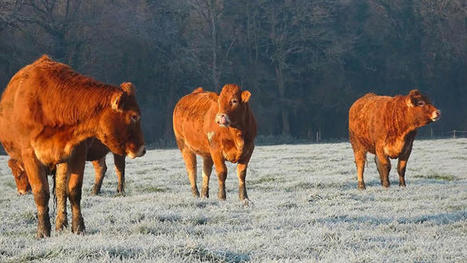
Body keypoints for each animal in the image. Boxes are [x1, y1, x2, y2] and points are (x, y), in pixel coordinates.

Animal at [0, 54, 145, 238]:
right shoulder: (30, 156)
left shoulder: (78, 152)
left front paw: (78, 227)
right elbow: (41, 193)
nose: (142, 148)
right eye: (133, 116)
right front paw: (43, 231)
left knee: (112, 171)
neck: (51, 104)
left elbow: (74, 191)